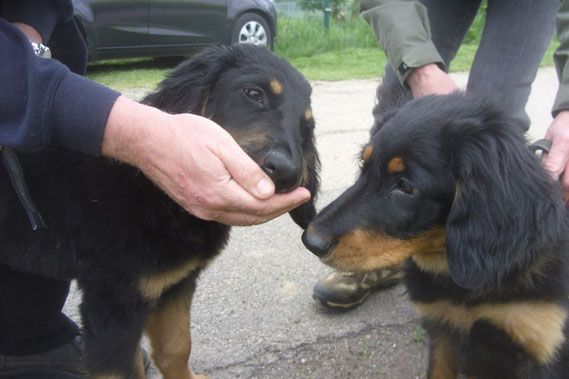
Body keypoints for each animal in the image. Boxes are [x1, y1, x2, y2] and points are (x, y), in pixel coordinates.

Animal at [0, 45, 320, 379]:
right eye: (254, 94)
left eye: (305, 128)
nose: (287, 173)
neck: (157, 192)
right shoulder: (115, 301)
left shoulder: (175, 282)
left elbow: (176, 347)